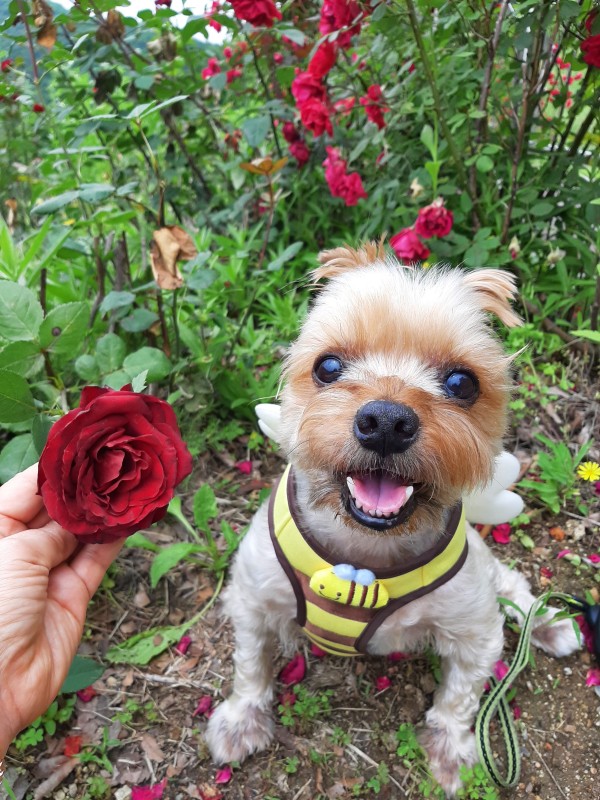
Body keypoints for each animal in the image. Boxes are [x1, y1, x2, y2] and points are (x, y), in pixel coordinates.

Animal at [206, 243, 579, 796]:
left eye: (461, 382)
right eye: (328, 366)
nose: (386, 420)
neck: (364, 554)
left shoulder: (477, 630)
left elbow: (461, 696)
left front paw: (451, 750)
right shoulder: (251, 598)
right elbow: (250, 664)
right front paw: (240, 719)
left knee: (514, 587)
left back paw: (550, 626)